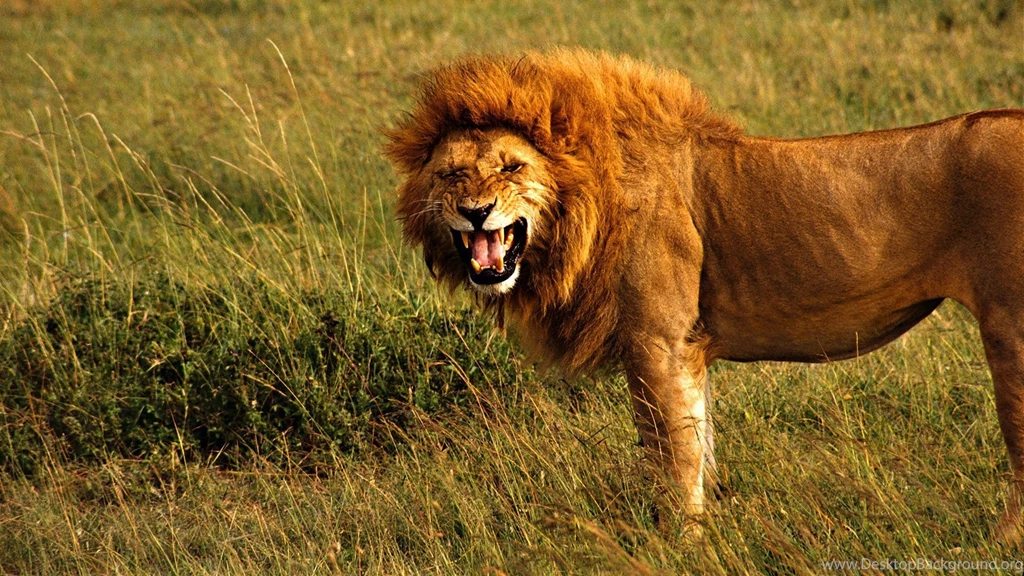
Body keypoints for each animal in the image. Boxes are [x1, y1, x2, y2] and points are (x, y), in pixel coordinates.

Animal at [384, 48, 1024, 541]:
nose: (476, 212)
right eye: (452, 175)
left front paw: (679, 544)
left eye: (512, 167)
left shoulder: (658, 342)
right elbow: (699, 446)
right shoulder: (686, 350)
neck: (584, 208)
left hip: (1010, 331)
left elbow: (673, 457)